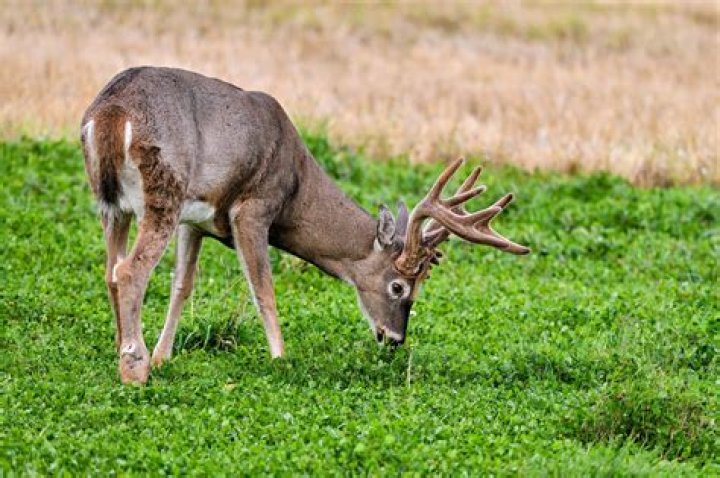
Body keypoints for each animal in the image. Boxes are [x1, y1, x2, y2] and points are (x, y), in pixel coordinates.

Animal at [80, 67, 530, 384]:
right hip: (163, 192)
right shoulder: (253, 208)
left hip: (114, 205)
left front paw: (163, 355)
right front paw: (281, 358)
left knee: (110, 270)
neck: (295, 187)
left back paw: (124, 349)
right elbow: (263, 289)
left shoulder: (198, 218)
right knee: (130, 270)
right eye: (399, 287)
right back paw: (134, 370)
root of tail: (110, 114)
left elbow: (182, 286)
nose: (394, 339)